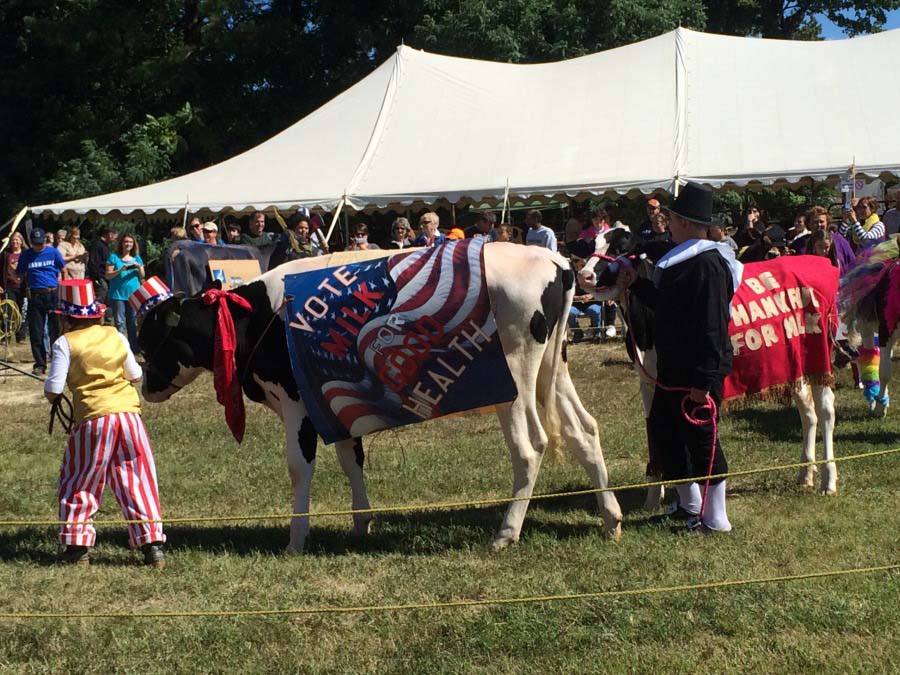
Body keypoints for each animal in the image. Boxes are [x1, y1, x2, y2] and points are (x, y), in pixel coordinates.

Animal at [137, 246, 624, 552]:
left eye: (153, 336)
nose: (143, 385)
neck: (257, 317)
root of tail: (552, 259)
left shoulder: (297, 405)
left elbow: (299, 468)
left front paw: (296, 538)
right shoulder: (331, 404)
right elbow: (352, 459)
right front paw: (361, 522)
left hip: (516, 382)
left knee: (530, 447)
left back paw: (506, 533)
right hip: (552, 372)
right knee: (584, 429)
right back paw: (611, 519)